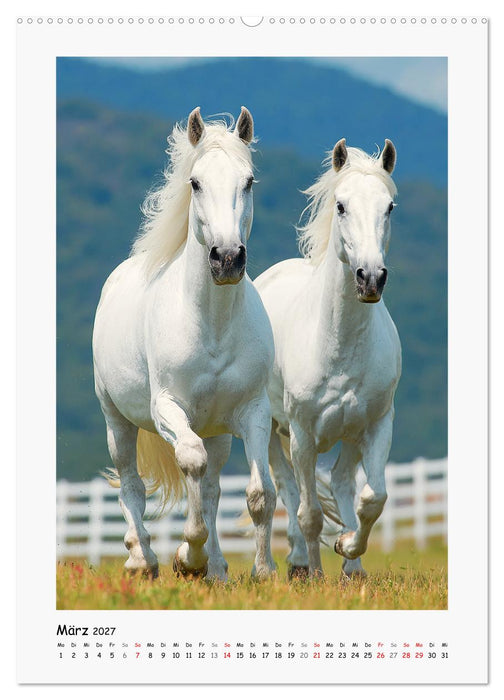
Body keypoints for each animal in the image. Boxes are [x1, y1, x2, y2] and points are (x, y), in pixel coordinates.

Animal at [92, 107, 277, 582]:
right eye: (195, 182)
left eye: (249, 181)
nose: (227, 258)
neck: (211, 325)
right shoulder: (168, 408)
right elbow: (189, 460)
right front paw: (187, 556)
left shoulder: (253, 412)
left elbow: (259, 494)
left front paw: (263, 571)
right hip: (117, 420)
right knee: (133, 487)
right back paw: (143, 559)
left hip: (219, 431)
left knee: (211, 489)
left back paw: (218, 569)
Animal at [255, 138, 401, 578]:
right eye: (341, 205)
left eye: (389, 206)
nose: (370, 278)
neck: (338, 345)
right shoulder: (303, 436)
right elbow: (309, 515)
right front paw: (317, 574)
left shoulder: (376, 425)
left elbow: (373, 498)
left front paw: (347, 547)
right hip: (271, 429)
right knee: (281, 491)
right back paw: (289, 564)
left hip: (350, 435)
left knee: (340, 484)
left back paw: (351, 568)